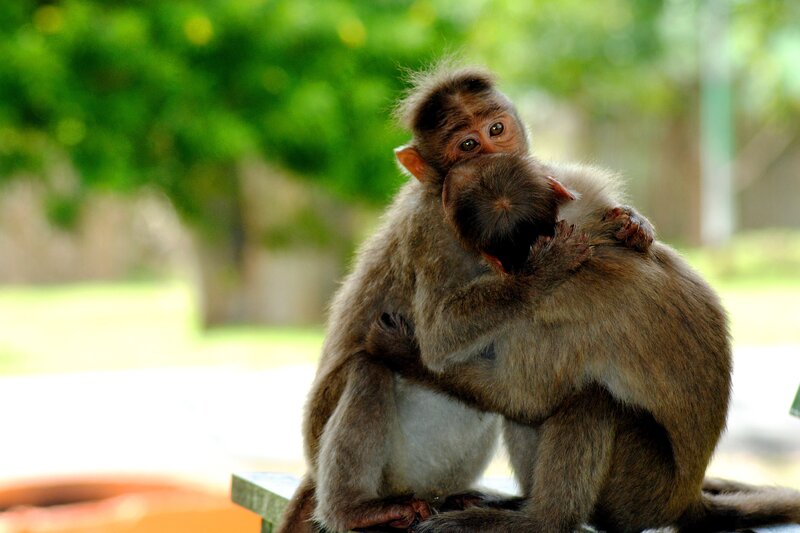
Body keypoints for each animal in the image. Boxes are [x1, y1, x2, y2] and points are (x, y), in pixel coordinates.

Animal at [276, 65, 656, 533]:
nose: (497, 160)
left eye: (497, 129)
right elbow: (439, 332)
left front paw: (633, 223)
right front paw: (543, 271)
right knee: (368, 368)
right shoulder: (431, 228)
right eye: (467, 146)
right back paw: (355, 509)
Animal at [365, 152, 800, 532]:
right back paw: (520, 504)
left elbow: (524, 397)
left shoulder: (536, 323)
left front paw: (399, 350)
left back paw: (540, 521)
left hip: (641, 491)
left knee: (591, 399)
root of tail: (685, 497)